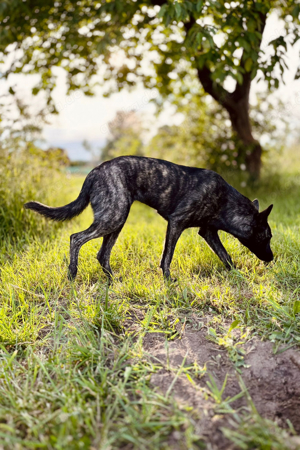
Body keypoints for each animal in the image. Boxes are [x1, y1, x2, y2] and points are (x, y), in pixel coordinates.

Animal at [25, 156, 274, 282]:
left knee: (102, 254)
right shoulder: (176, 223)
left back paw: (113, 280)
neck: (225, 200)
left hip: (116, 221)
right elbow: (167, 257)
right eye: (268, 236)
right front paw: (168, 280)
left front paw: (239, 275)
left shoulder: (208, 232)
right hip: (113, 217)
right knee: (76, 238)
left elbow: (226, 256)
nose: (272, 258)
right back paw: (72, 274)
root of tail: (94, 171)